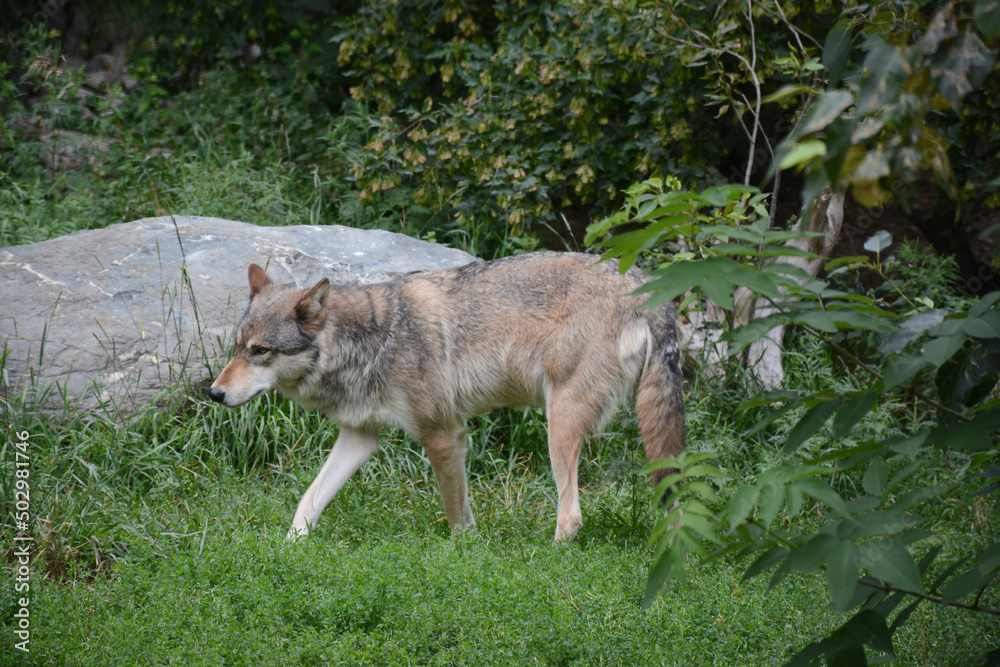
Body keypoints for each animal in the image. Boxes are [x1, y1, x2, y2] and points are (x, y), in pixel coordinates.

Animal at [208, 252, 684, 541]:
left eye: (261, 352)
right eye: (237, 347)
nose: (214, 392)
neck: (368, 340)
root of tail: (647, 284)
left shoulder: (442, 435)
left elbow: (456, 516)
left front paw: (464, 554)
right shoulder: (359, 438)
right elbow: (306, 503)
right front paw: (288, 550)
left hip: (559, 423)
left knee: (571, 517)